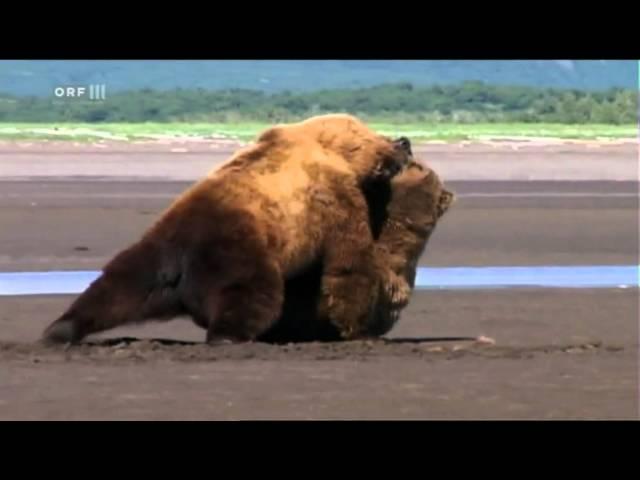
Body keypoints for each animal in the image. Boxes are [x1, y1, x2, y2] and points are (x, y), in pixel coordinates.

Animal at [41, 112, 410, 344]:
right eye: (383, 138)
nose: (405, 141)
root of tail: (179, 263)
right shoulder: (334, 200)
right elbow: (350, 261)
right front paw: (361, 328)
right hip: (238, 248)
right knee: (253, 292)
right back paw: (228, 336)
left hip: (151, 253)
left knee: (113, 288)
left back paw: (60, 330)